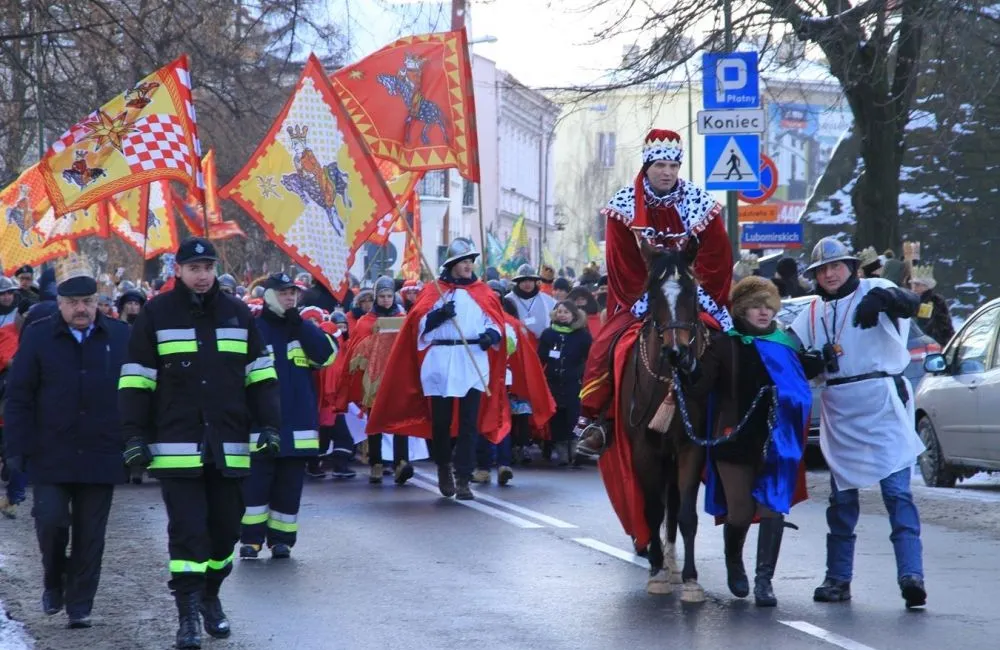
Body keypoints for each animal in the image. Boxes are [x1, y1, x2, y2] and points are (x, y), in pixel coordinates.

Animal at [616, 240, 712, 600]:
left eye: (693, 291)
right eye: (653, 293)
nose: (677, 352)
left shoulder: (690, 447)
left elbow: (685, 514)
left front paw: (690, 580)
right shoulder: (645, 448)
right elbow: (652, 509)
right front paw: (656, 572)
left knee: (673, 504)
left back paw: (672, 562)